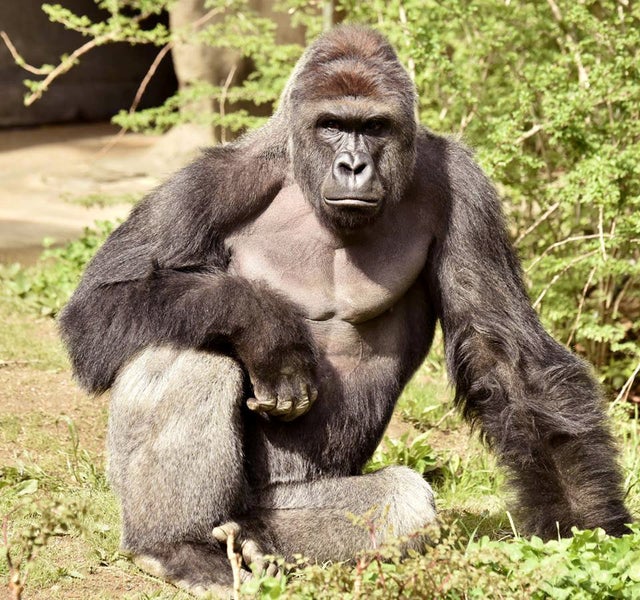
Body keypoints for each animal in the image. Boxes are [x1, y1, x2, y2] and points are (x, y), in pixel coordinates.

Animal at [59, 25, 632, 595]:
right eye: (332, 125)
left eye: (374, 127)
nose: (353, 165)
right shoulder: (211, 181)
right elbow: (98, 305)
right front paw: (266, 326)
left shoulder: (466, 191)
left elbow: (506, 356)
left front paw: (584, 527)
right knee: (187, 346)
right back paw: (176, 546)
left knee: (399, 500)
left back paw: (255, 541)